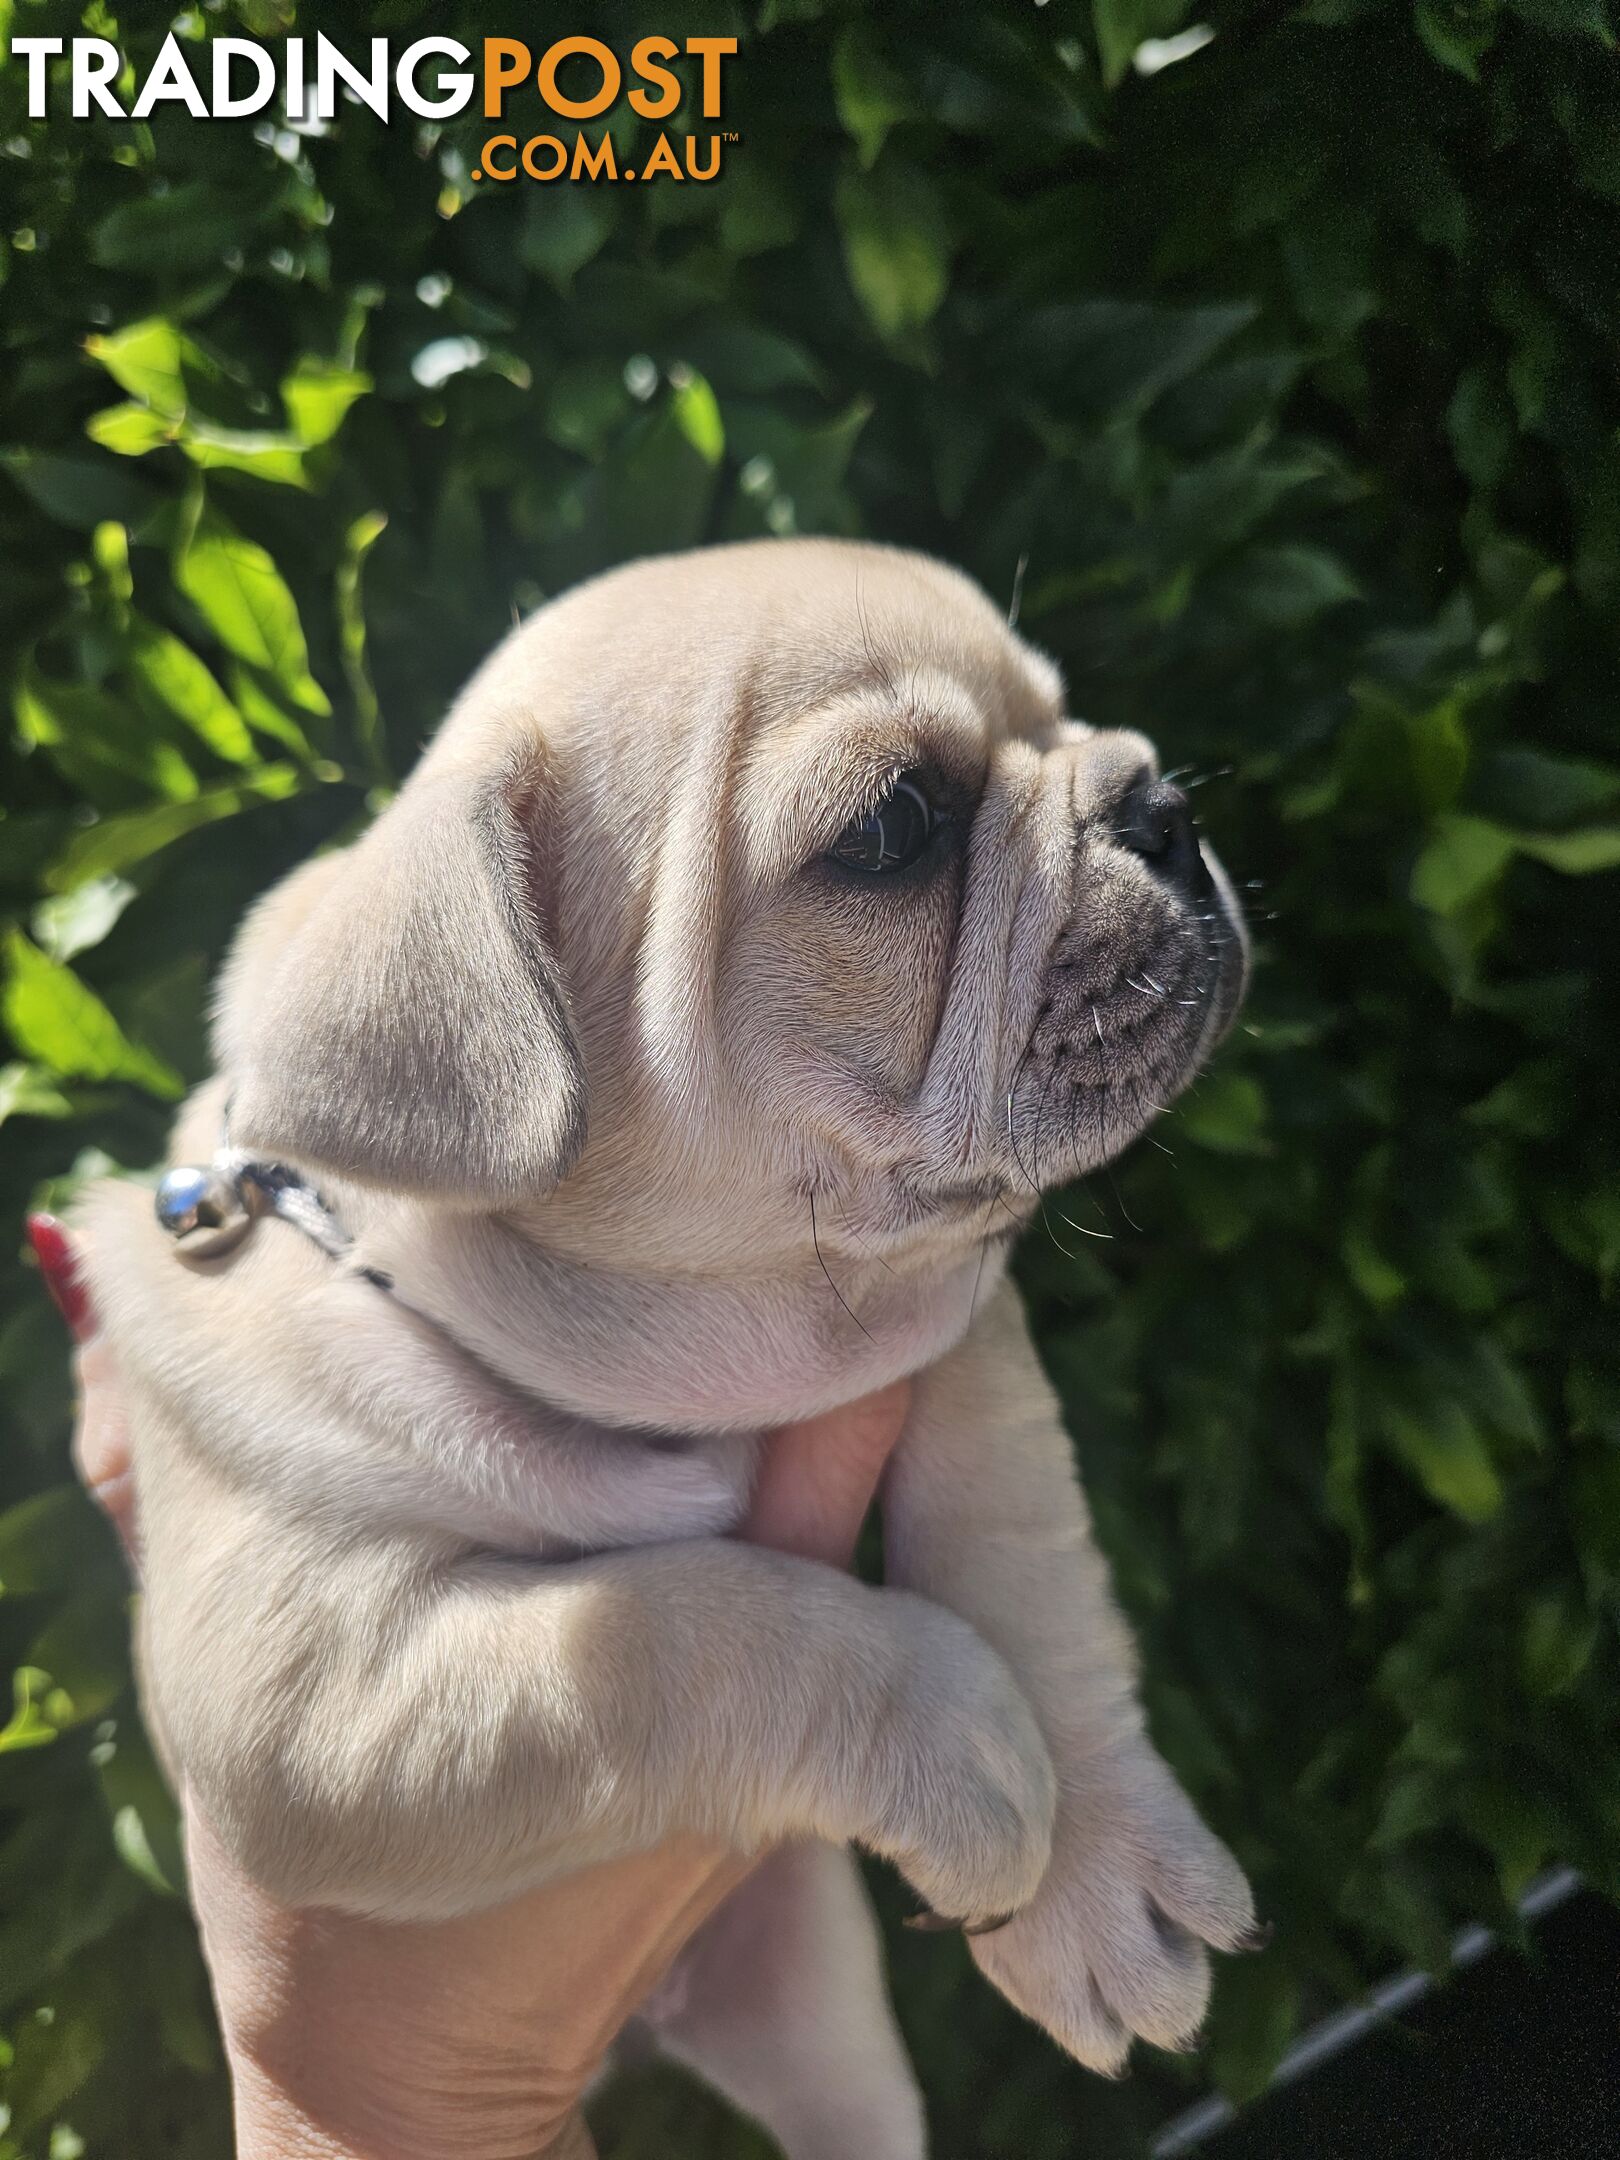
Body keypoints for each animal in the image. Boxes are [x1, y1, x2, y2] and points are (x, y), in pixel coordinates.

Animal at [82, 540, 1261, 2160]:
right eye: (892, 829)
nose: (1162, 805)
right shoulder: (308, 1702)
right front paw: (965, 1737)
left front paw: (1097, 1856)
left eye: (1068, 712)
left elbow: (1018, 1558)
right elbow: (669, 1632)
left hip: (813, 2005)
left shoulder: (956, 1336)